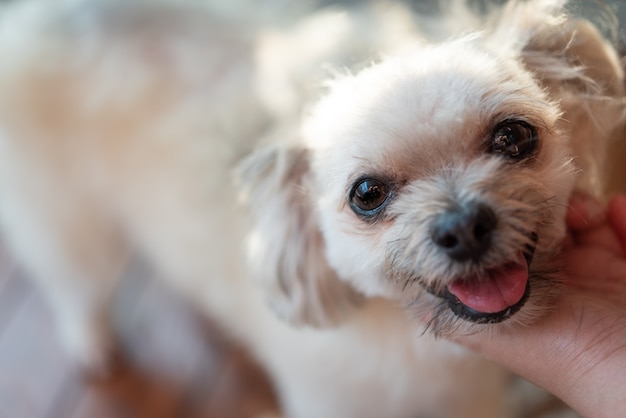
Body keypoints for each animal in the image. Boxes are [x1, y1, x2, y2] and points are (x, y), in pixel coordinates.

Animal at [0, 0, 620, 416]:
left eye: (514, 137)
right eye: (366, 195)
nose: (463, 227)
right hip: (66, 221)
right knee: (74, 286)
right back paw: (93, 343)